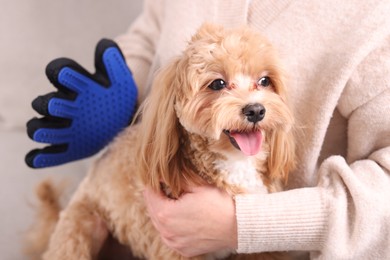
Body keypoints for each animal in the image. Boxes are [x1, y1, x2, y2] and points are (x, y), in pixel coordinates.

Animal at [28, 23, 296, 258]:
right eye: (217, 83)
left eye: (264, 81)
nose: (256, 110)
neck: (236, 163)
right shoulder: (173, 249)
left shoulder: (260, 250)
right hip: (78, 230)